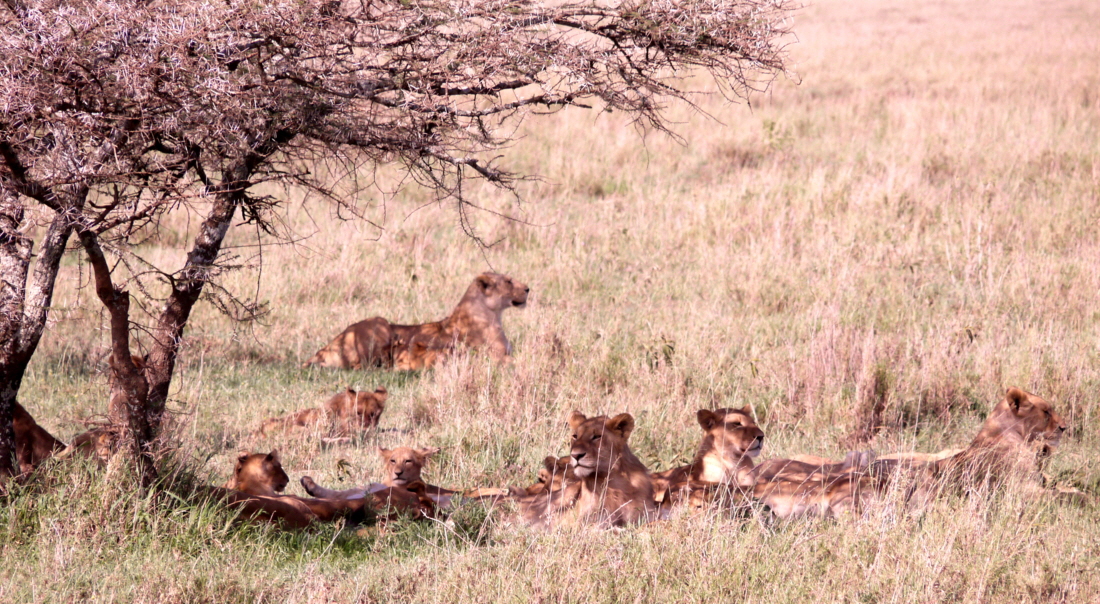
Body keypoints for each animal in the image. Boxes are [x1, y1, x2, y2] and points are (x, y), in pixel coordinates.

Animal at [303, 271, 530, 367]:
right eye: (509, 281)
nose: (528, 289)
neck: (494, 314)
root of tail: (324, 348)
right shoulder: (493, 354)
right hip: (380, 321)